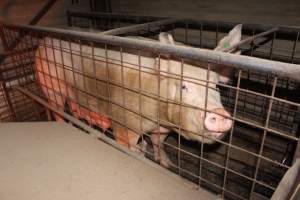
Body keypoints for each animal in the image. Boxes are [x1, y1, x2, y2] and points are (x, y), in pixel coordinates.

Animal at [34, 24, 241, 166]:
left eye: (215, 86)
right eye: (183, 86)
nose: (219, 114)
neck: (157, 115)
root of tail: (44, 40)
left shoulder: (163, 127)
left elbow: (159, 142)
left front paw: (167, 164)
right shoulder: (124, 122)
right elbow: (127, 144)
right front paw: (140, 154)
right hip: (51, 84)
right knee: (57, 110)